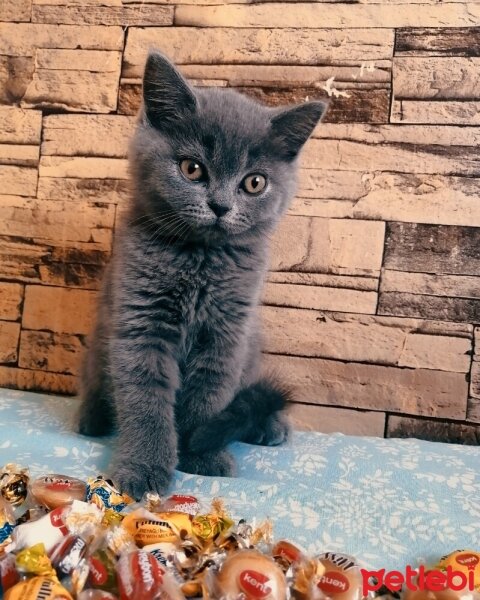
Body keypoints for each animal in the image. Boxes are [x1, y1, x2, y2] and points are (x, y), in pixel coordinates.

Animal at [78, 51, 326, 500]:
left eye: (255, 182)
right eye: (192, 169)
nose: (221, 206)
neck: (200, 261)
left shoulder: (227, 332)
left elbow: (209, 394)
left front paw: (200, 452)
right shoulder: (140, 322)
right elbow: (145, 400)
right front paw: (144, 468)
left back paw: (269, 426)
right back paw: (93, 418)